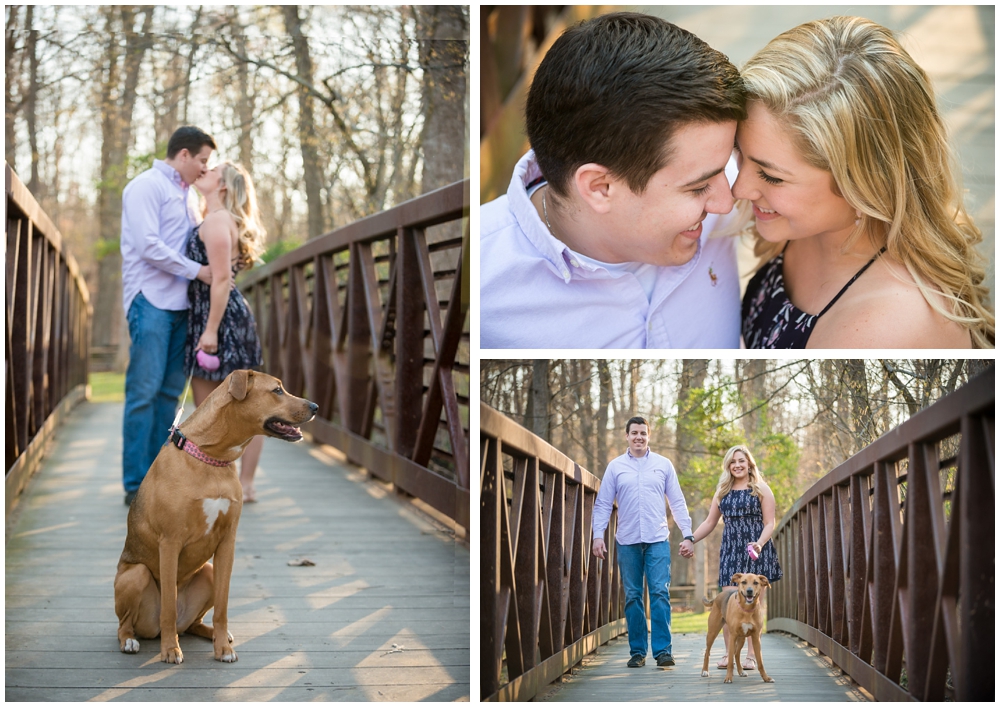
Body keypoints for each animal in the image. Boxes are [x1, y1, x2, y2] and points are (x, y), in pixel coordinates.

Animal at [113, 370, 316, 664]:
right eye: (277, 390)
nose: (316, 407)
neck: (212, 458)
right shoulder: (170, 543)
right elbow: (168, 608)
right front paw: (170, 649)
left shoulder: (226, 544)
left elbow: (222, 606)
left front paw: (223, 648)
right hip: (136, 575)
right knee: (128, 623)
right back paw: (131, 640)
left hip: (207, 572)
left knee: (192, 624)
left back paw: (213, 634)